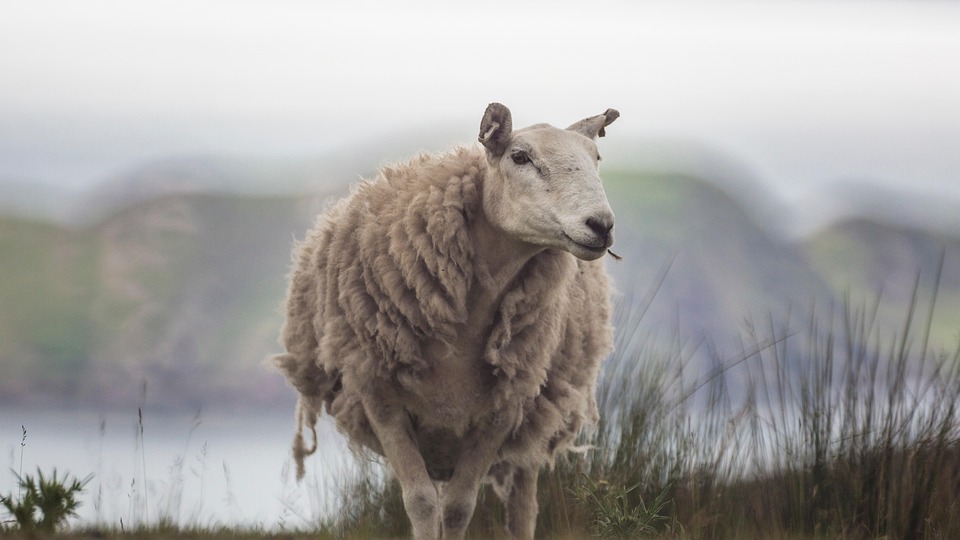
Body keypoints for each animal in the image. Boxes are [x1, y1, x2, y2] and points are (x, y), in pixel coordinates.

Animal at [274, 102, 619, 539]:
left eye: (596, 158)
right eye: (520, 157)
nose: (601, 225)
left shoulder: (503, 409)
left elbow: (458, 508)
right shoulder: (379, 394)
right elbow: (421, 503)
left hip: (532, 420)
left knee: (523, 504)